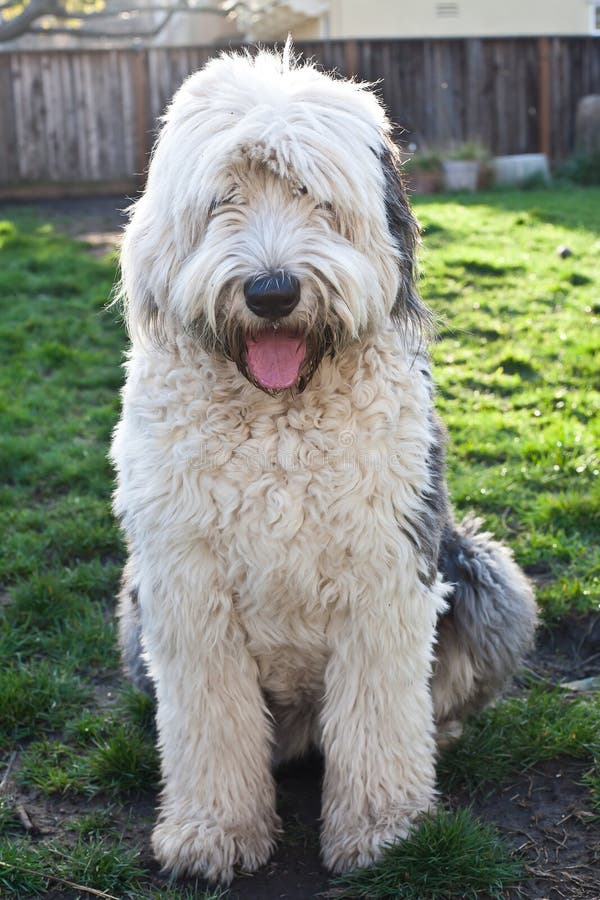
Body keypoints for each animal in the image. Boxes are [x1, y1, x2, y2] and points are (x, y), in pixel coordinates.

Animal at [110, 45, 536, 884]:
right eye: (224, 198)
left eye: (315, 196)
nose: (272, 293)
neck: (279, 418)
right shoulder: (186, 588)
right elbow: (209, 720)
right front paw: (212, 834)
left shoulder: (387, 570)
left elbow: (379, 710)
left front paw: (384, 831)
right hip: (136, 611)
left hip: (483, 572)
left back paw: (438, 740)